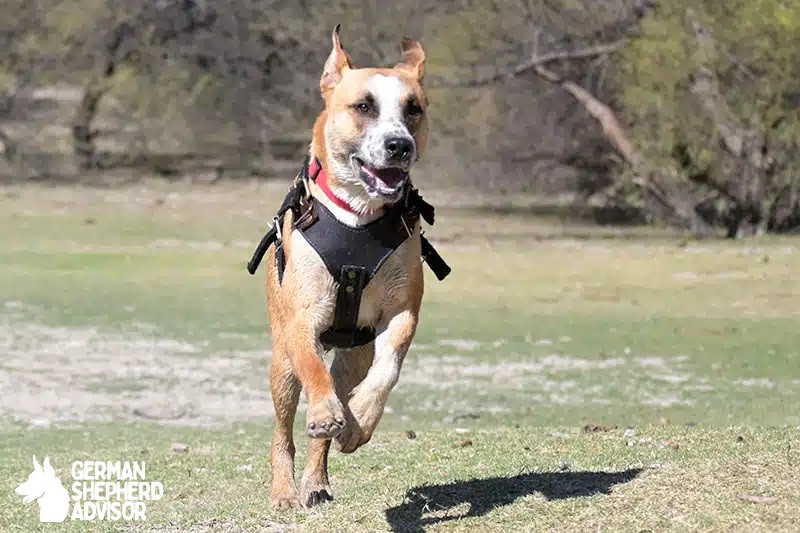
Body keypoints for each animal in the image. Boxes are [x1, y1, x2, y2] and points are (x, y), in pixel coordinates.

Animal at [266, 26, 432, 508]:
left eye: (413, 109)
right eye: (363, 106)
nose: (399, 145)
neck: (360, 214)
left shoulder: (403, 311)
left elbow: (389, 368)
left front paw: (360, 420)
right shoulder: (301, 319)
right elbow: (313, 369)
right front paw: (323, 411)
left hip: (353, 357)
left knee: (336, 404)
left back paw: (318, 478)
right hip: (281, 364)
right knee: (284, 428)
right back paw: (285, 489)